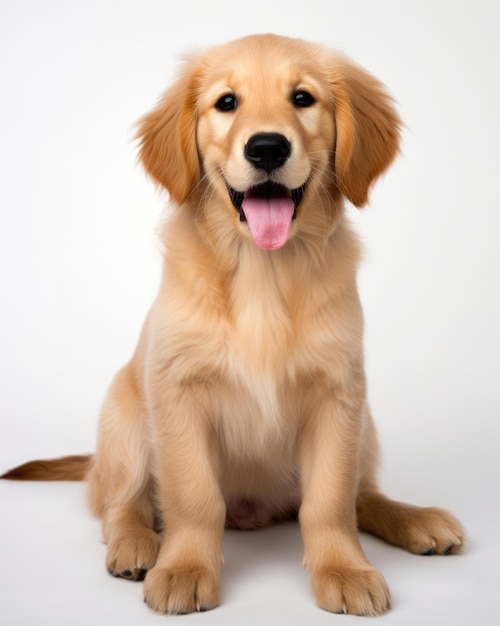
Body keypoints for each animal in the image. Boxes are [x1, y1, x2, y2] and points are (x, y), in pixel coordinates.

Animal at [3, 35, 464, 616]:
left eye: (302, 97)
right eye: (227, 103)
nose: (267, 148)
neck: (262, 270)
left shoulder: (339, 392)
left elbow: (331, 501)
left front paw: (344, 569)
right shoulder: (177, 390)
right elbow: (194, 497)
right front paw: (184, 568)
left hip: (367, 425)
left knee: (363, 495)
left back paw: (417, 520)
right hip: (124, 415)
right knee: (120, 501)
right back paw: (136, 544)